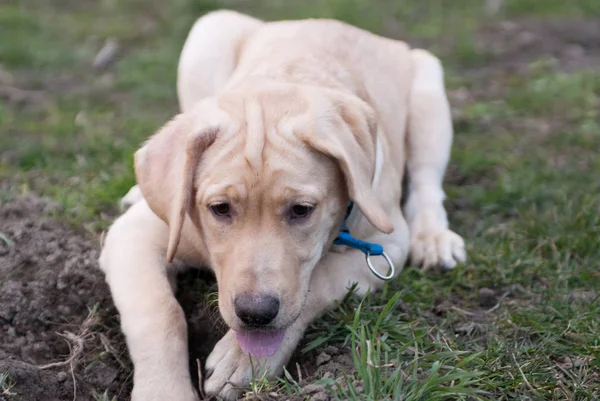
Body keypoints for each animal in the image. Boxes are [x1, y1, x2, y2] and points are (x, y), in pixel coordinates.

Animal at [98, 8, 466, 400]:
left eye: (301, 210)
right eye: (220, 208)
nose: (255, 313)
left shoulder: (384, 247)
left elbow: (320, 279)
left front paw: (243, 360)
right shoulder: (135, 236)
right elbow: (158, 311)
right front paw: (164, 389)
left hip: (429, 94)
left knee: (427, 182)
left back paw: (434, 239)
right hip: (209, 32)